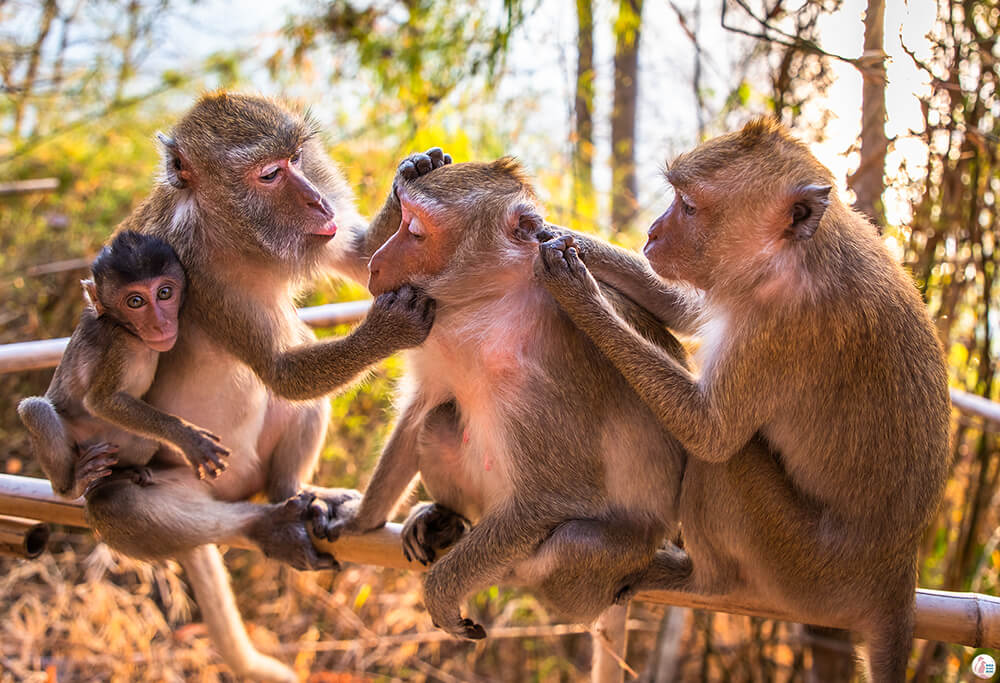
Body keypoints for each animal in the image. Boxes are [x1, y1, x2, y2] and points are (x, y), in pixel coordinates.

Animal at [18, 230, 230, 496]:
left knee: (145, 439)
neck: (129, 331)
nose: (160, 324)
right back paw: (72, 486)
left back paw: (124, 471)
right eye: (135, 301)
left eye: (164, 293)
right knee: (34, 409)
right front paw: (185, 436)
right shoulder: (118, 345)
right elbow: (100, 401)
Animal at [308, 159, 692, 640]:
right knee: (439, 421)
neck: (490, 300)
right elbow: (419, 411)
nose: (375, 265)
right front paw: (360, 518)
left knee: (575, 543)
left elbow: (556, 496)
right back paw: (444, 520)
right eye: (403, 221)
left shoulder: (550, 364)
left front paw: (441, 589)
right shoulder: (434, 322)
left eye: (415, 231)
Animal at [536, 117, 948, 683]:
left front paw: (577, 292)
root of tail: (895, 574)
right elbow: (682, 309)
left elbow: (710, 432)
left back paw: (705, 582)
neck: (791, 256)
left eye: (689, 206)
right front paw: (550, 231)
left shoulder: (783, 329)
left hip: (802, 570)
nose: (653, 232)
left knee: (726, 461)